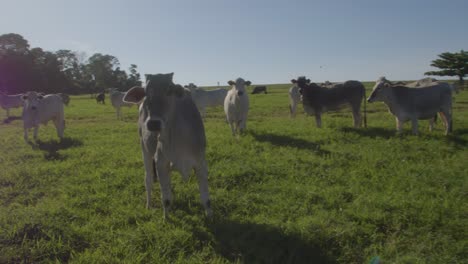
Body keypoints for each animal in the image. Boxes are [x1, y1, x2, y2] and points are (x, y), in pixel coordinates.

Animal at [123, 72, 213, 219]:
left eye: (169, 91)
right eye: (146, 93)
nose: (153, 123)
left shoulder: (201, 163)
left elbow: (206, 199)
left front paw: (210, 216)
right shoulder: (161, 163)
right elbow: (165, 199)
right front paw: (166, 219)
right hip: (144, 149)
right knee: (148, 180)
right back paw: (148, 205)